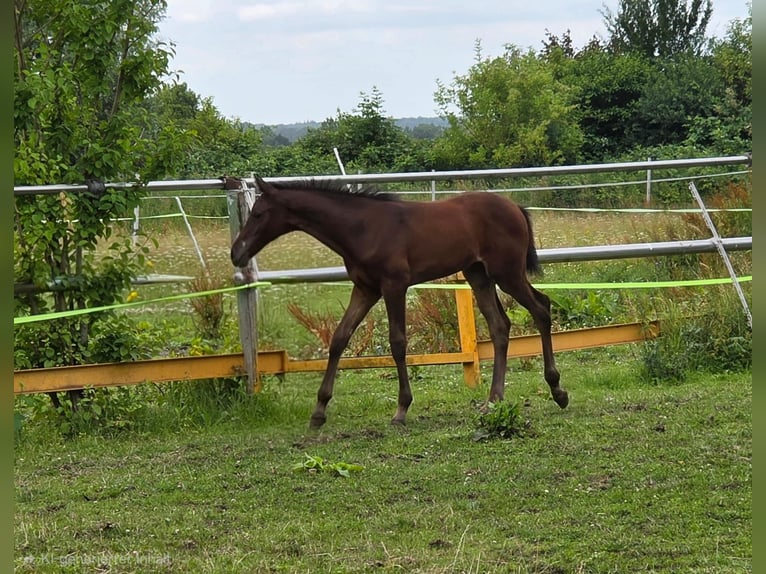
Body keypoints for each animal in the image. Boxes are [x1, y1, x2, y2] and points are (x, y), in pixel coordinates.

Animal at [230, 176, 568, 429]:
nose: (237, 253)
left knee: (541, 307)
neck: (363, 228)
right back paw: (493, 399)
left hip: (507, 273)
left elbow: (397, 342)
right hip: (479, 275)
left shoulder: (394, 286)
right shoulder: (365, 289)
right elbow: (339, 338)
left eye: (258, 214)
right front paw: (319, 411)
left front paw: (401, 409)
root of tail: (515, 206)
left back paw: (557, 390)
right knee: (500, 325)